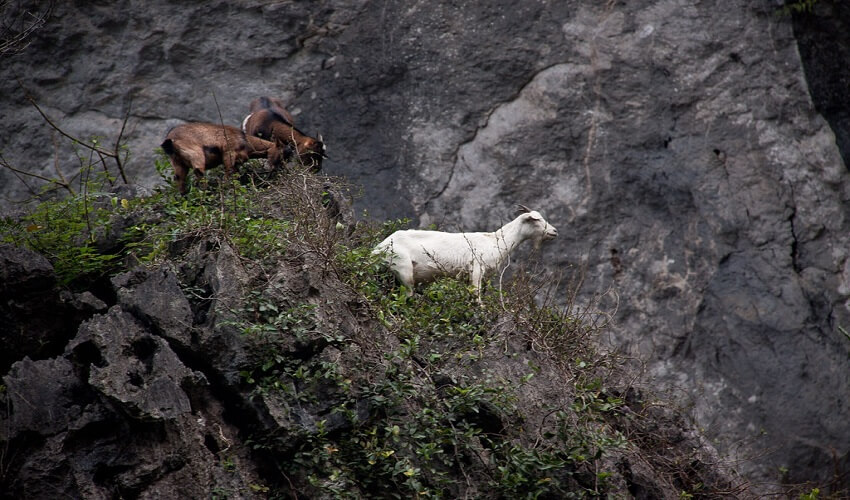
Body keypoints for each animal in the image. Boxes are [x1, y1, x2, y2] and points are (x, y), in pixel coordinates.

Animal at [373, 206, 558, 301]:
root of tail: (378, 249)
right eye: (537, 220)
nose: (554, 231)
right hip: (403, 268)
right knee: (407, 294)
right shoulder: (477, 268)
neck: (495, 241)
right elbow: (476, 294)